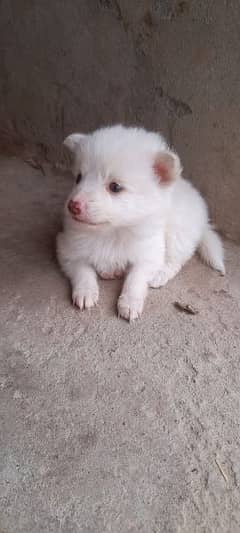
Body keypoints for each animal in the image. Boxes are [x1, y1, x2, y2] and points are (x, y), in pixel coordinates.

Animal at [56, 124, 225, 320]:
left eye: (115, 187)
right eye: (78, 178)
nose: (72, 206)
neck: (112, 232)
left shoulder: (148, 254)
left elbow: (135, 279)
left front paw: (129, 303)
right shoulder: (67, 248)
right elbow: (82, 269)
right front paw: (86, 292)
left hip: (178, 232)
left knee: (176, 261)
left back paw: (160, 275)